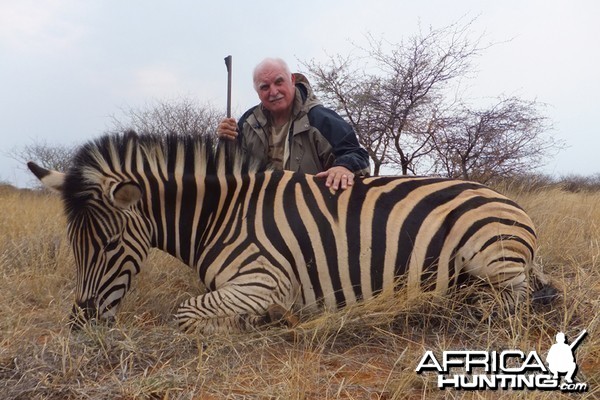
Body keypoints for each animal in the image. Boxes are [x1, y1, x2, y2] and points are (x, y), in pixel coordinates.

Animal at [27, 132, 552, 334]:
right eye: (73, 247)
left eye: (111, 245)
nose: (80, 326)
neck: (221, 214)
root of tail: (512, 204)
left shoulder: (264, 281)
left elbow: (186, 313)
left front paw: (257, 323)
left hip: (492, 259)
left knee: (510, 304)